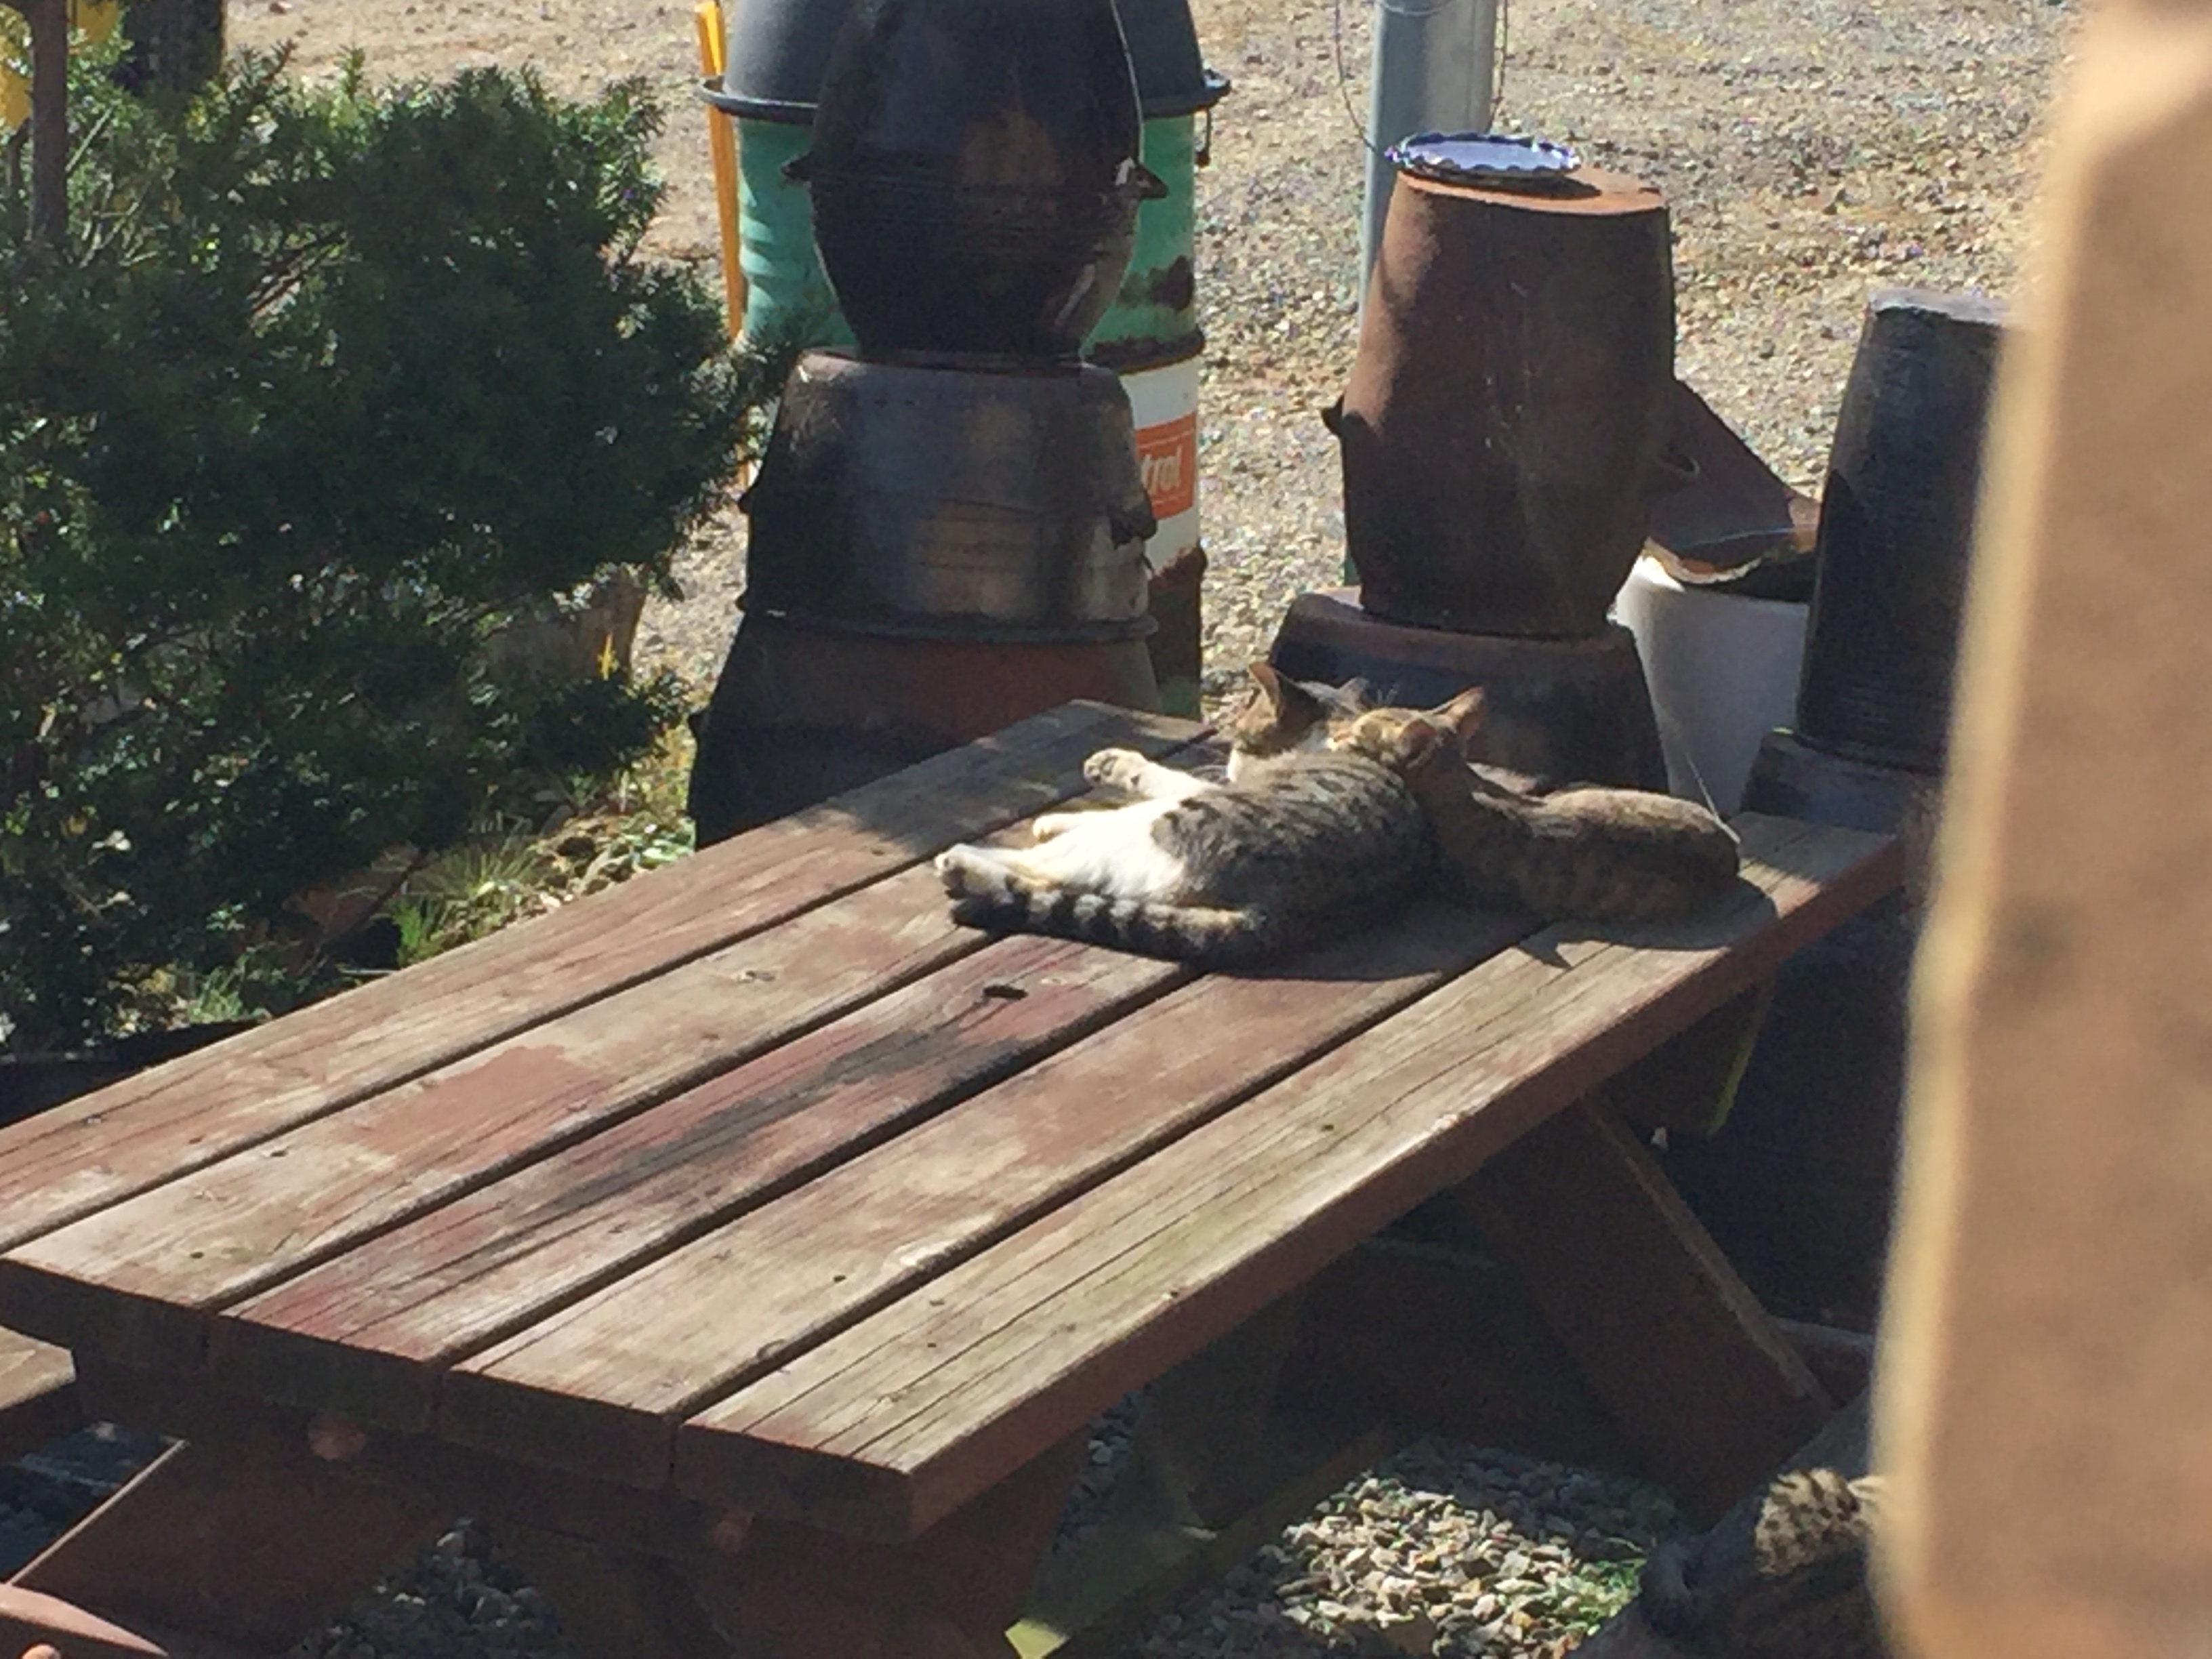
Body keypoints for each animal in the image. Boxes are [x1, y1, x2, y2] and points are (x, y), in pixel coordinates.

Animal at [932, 664, 1433, 967]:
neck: (1335, 734)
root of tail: (1274, 912)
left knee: (1043, 870)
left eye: (1239, 740)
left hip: (1153, 831)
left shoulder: (1206, 792)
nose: (1230, 762)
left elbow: (1164, 780)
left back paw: (959, 862)